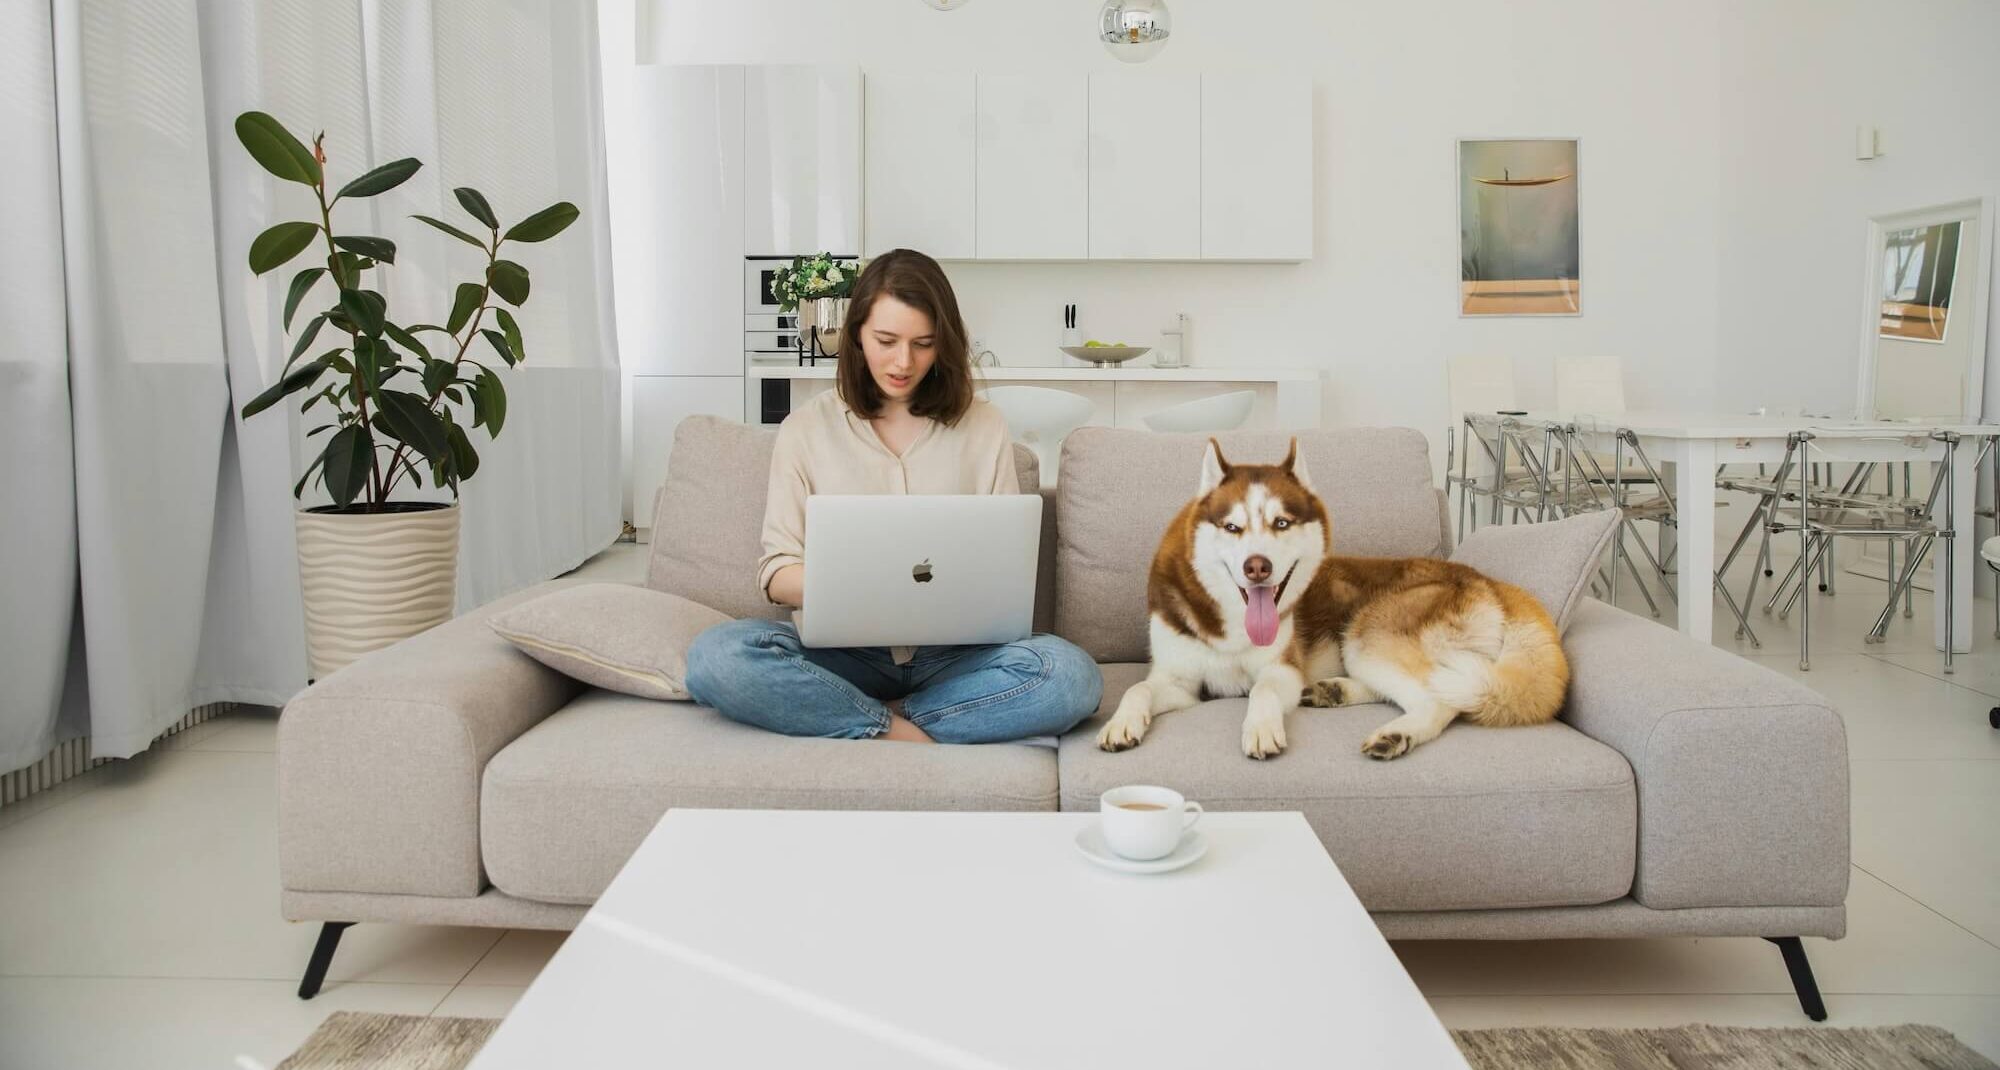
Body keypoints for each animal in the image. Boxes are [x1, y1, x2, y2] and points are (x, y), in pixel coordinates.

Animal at [1104, 438, 1568, 764]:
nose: (1258, 567)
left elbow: (1263, 690)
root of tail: (1488, 579)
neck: (1233, 625)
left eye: (1281, 523)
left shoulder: (1282, 669)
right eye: (1232, 527)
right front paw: (1120, 723)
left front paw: (1260, 728)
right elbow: (1138, 689)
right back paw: (1334, 691)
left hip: (1367, 633)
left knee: (1440, 699)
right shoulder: (1179, 683)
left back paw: (1395, 734)